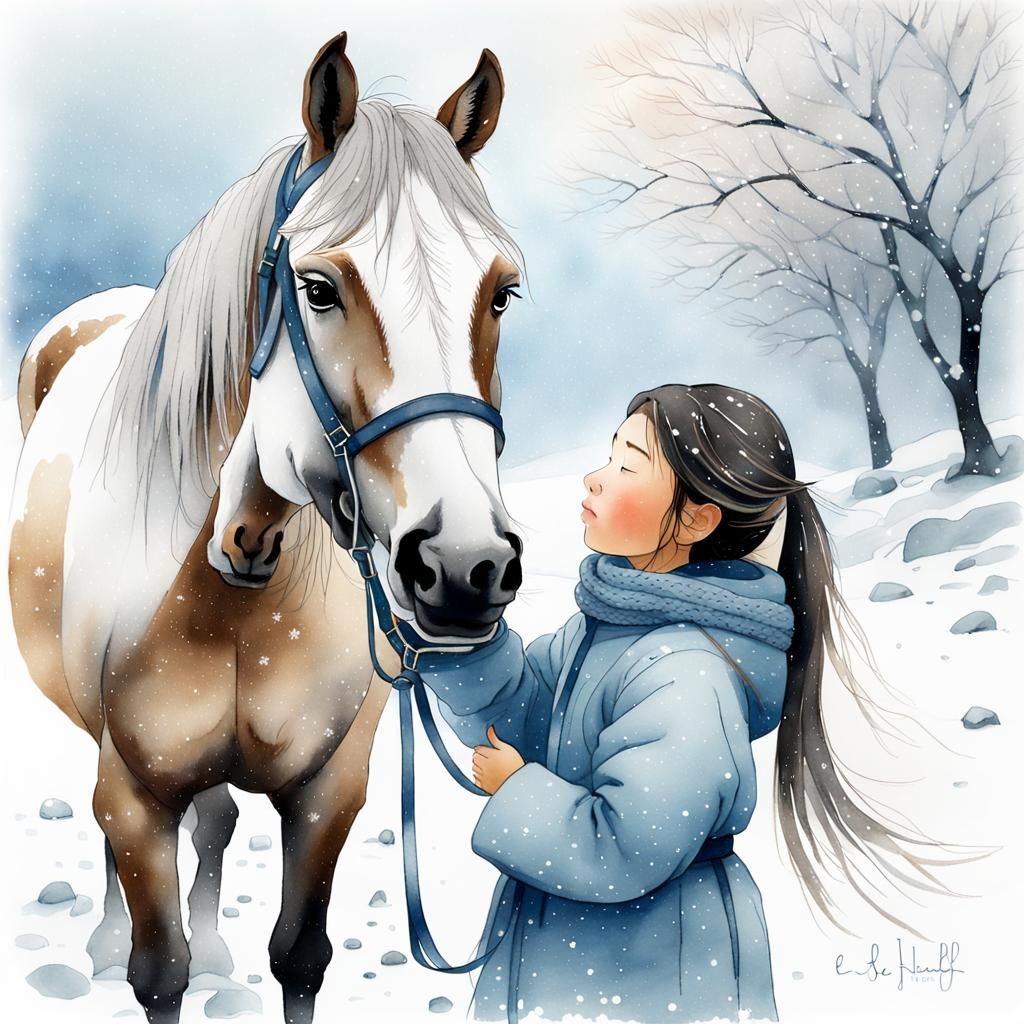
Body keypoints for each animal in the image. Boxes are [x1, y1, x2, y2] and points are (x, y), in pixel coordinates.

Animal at [8, 33, 525, 1024]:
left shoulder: (329, 793)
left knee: (217, 822)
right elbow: (157, 969)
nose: (466, 565)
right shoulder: (135, 793)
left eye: (502, 294)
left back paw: (216, 948)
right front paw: (139, 953)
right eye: (318, 287)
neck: (234, 568)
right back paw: (101, 942)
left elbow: (299, 957)